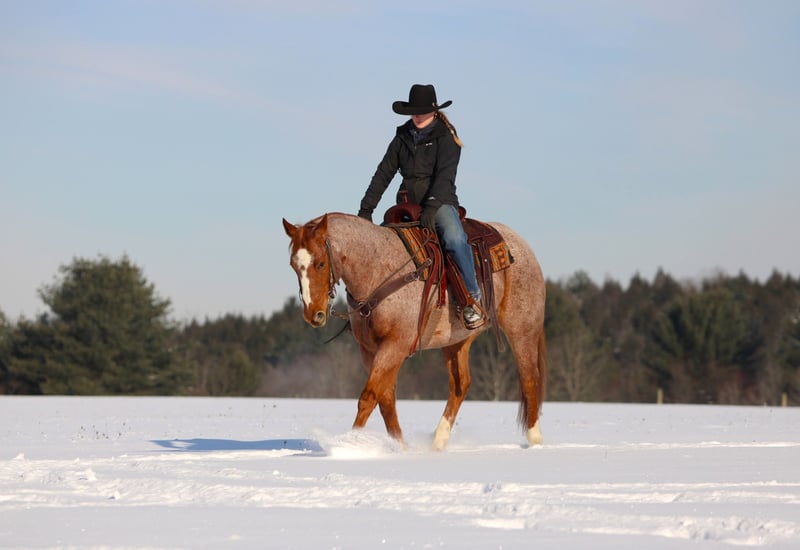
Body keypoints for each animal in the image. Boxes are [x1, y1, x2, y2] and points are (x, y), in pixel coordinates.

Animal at [282, 212, 547, 450]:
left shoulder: (396, 344)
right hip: (456, 341)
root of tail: (522, 246)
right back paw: (438, 441)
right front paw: (400, 447)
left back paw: (535, 440)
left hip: (522, 329)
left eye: (320, 263)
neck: (376, 271)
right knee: (461, 384)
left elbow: (368, 397)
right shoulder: (369, 350)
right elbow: (386, 400)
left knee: (529, 378)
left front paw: (351, 444)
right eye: (294, 265)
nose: (314, 314)